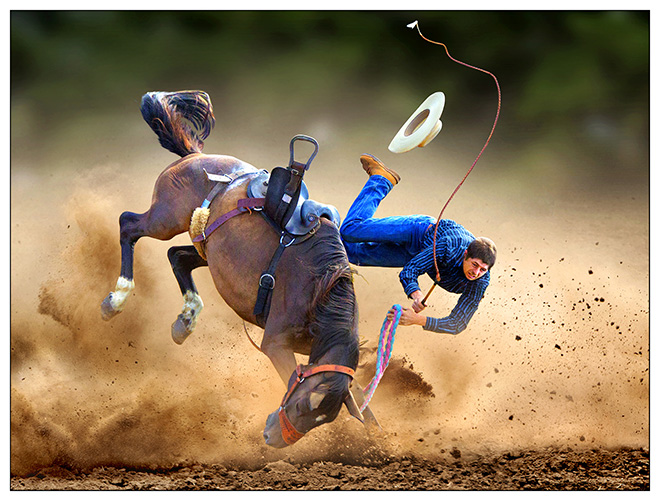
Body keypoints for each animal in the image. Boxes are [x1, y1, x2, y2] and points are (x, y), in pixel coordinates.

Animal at [98, 92, 376, 448]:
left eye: (322, 420)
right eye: (302, 405)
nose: (272, 437)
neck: (318, 290)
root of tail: (195, 156)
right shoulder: (275, 344)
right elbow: (288, 373)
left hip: (207, 250)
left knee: (177, 256)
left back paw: (186, 319)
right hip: (164, 219)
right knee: (128, 225)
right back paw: (117, 298)